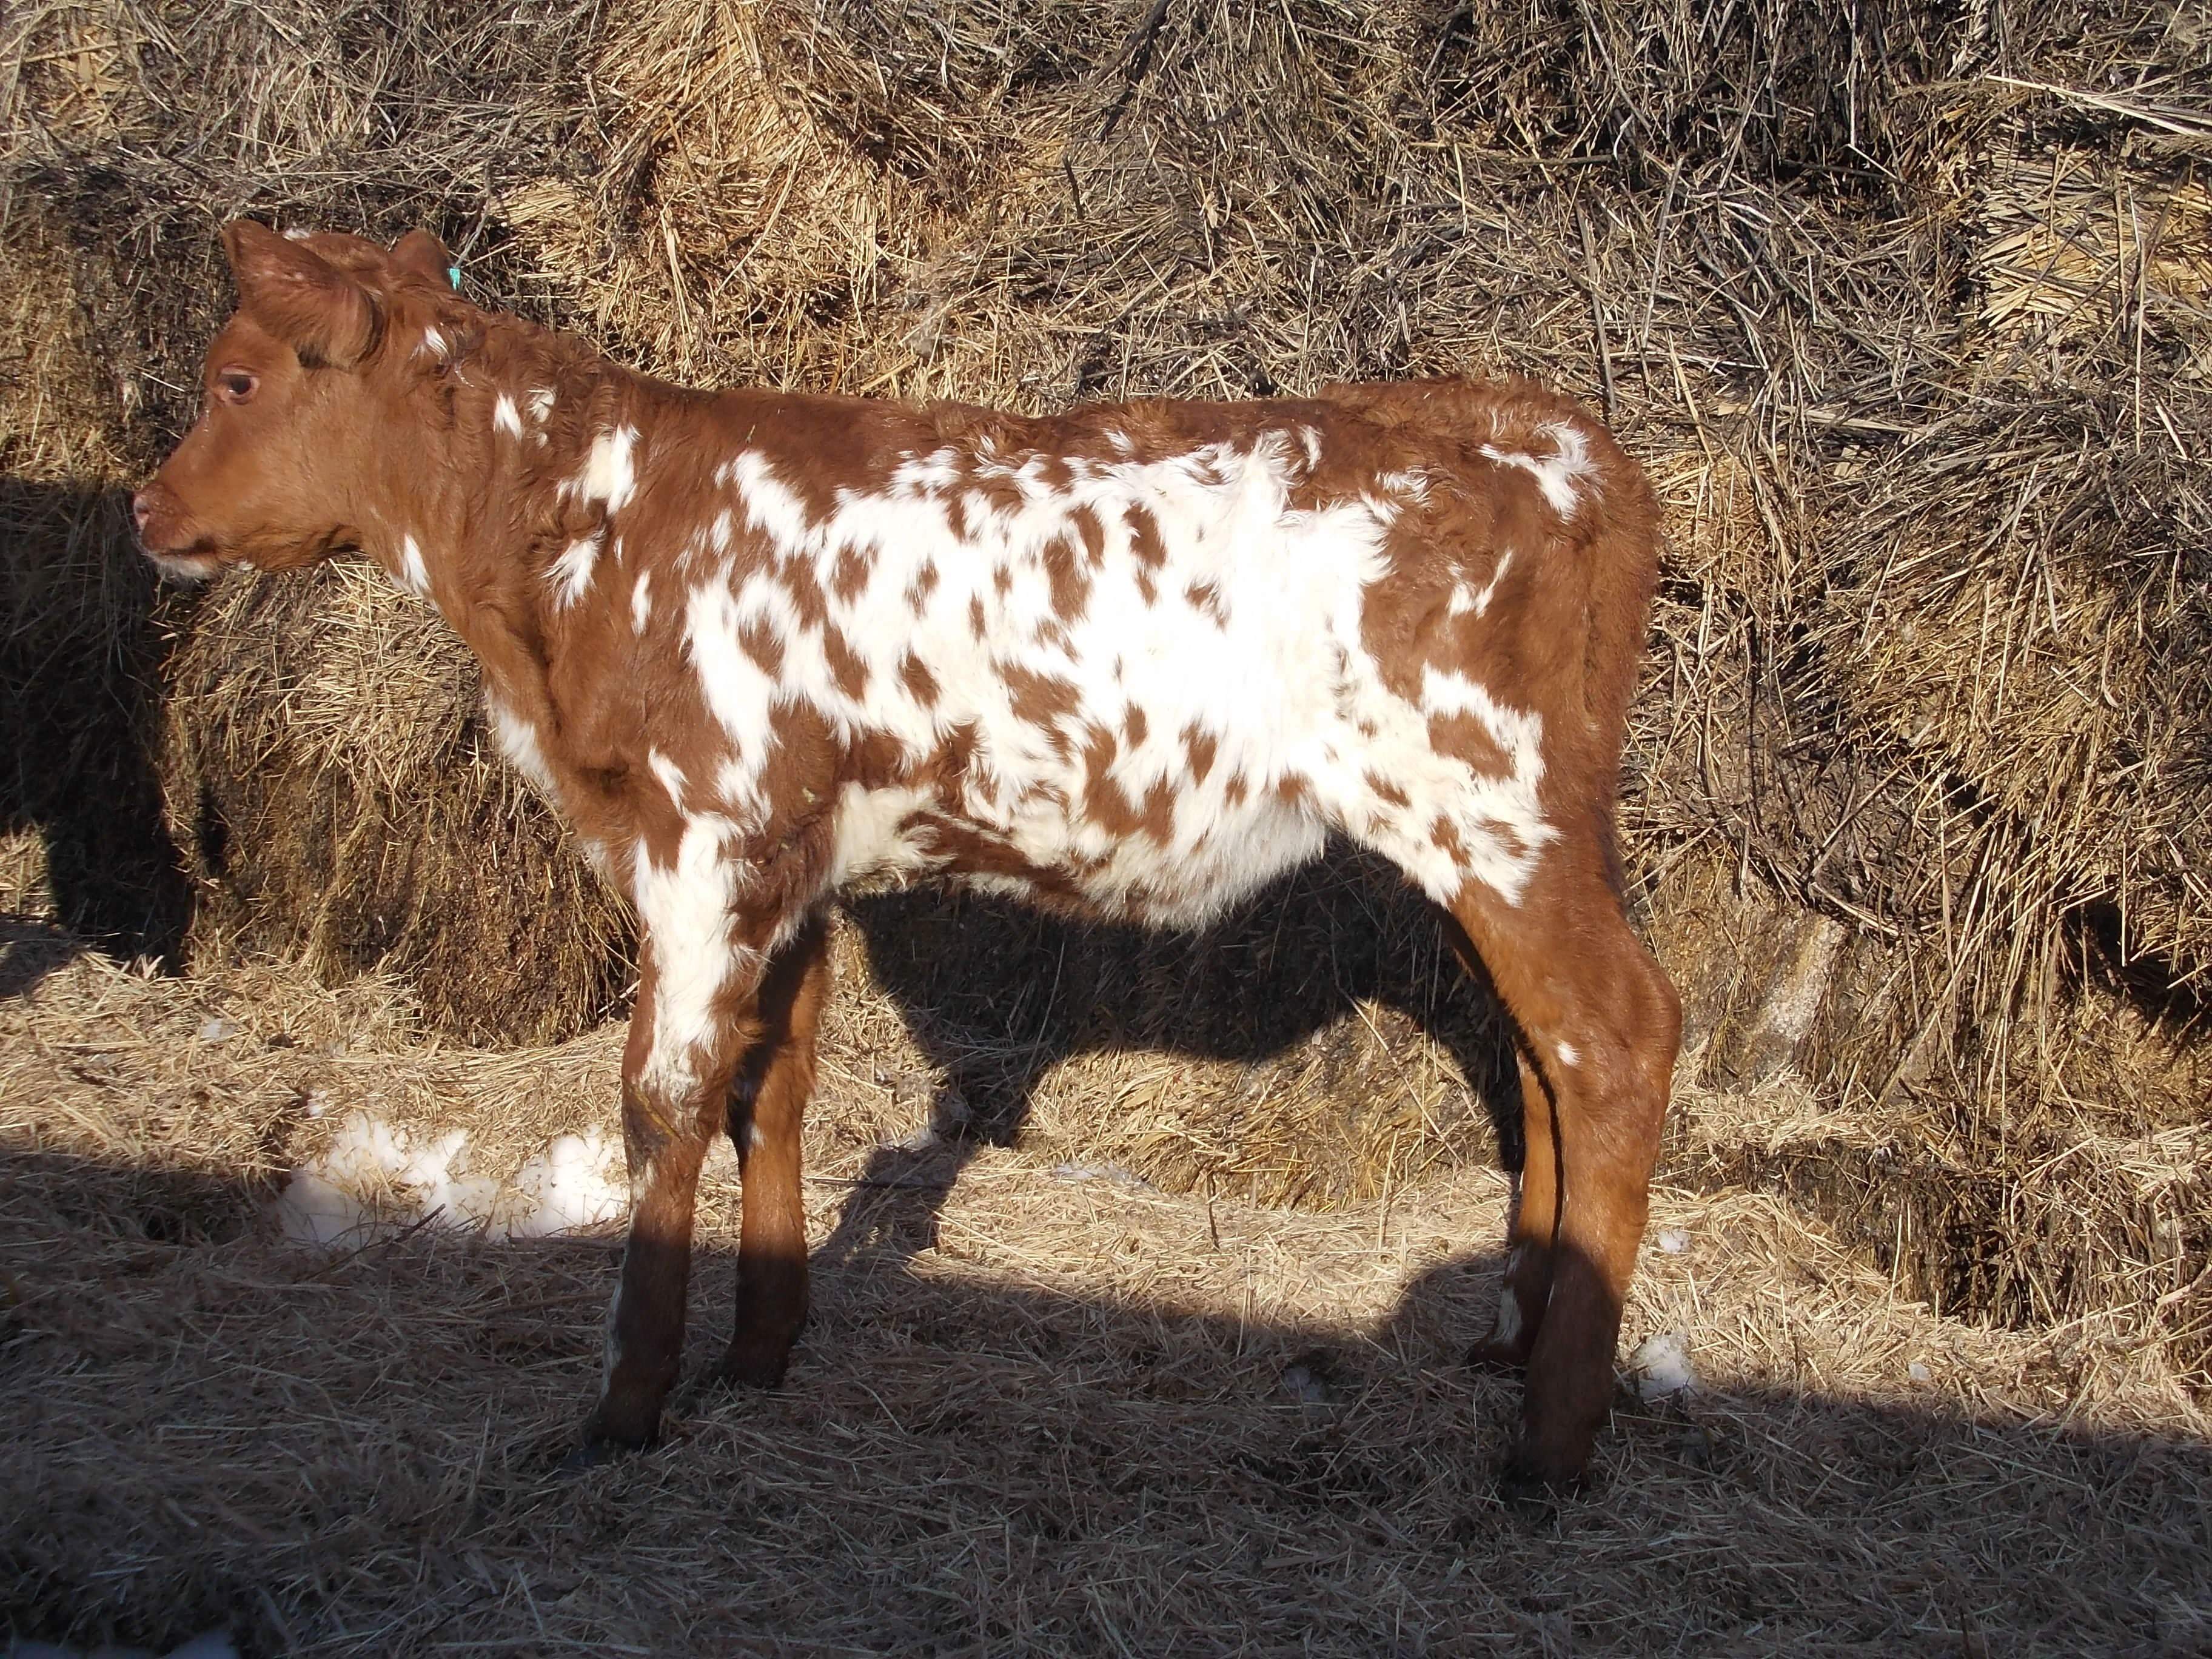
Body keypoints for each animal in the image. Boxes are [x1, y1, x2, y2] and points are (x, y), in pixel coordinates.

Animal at [133, 224, 1672, 1495]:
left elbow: (664, 1099)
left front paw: (625, 1406)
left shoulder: (700, 837)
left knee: (1614, 1037)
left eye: (235, 380)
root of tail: (1545, 427)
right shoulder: (789, 862)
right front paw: (758, 1354)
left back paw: (1550, 1443)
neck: (585, 541)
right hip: (1503, 835)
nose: (146, 507)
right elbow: (773, 1086)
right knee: (1539, 1056)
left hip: (1489, 804)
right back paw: (1505, 1341)